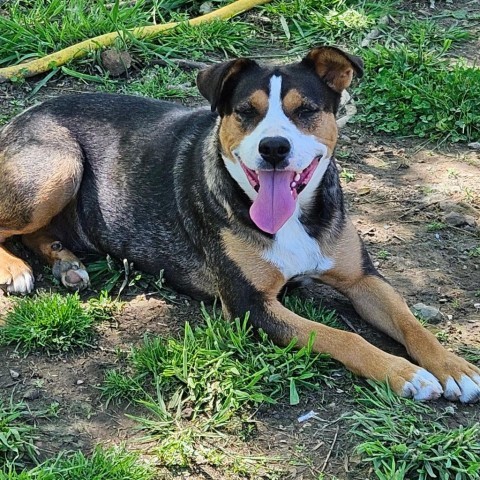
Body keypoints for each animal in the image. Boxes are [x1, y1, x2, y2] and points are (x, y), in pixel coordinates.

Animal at [0, 47, 480, 402]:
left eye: (306, 110)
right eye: (246, 111)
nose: (274, 147)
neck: (292, 218)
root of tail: (23, 115)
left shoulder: (363, 278)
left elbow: (409, 321)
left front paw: (454, 367)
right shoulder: (251, 305)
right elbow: (343, 337)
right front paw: (404, 373)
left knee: (37, 233)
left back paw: (65, 263)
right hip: (57, 169)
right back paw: (17, 269)